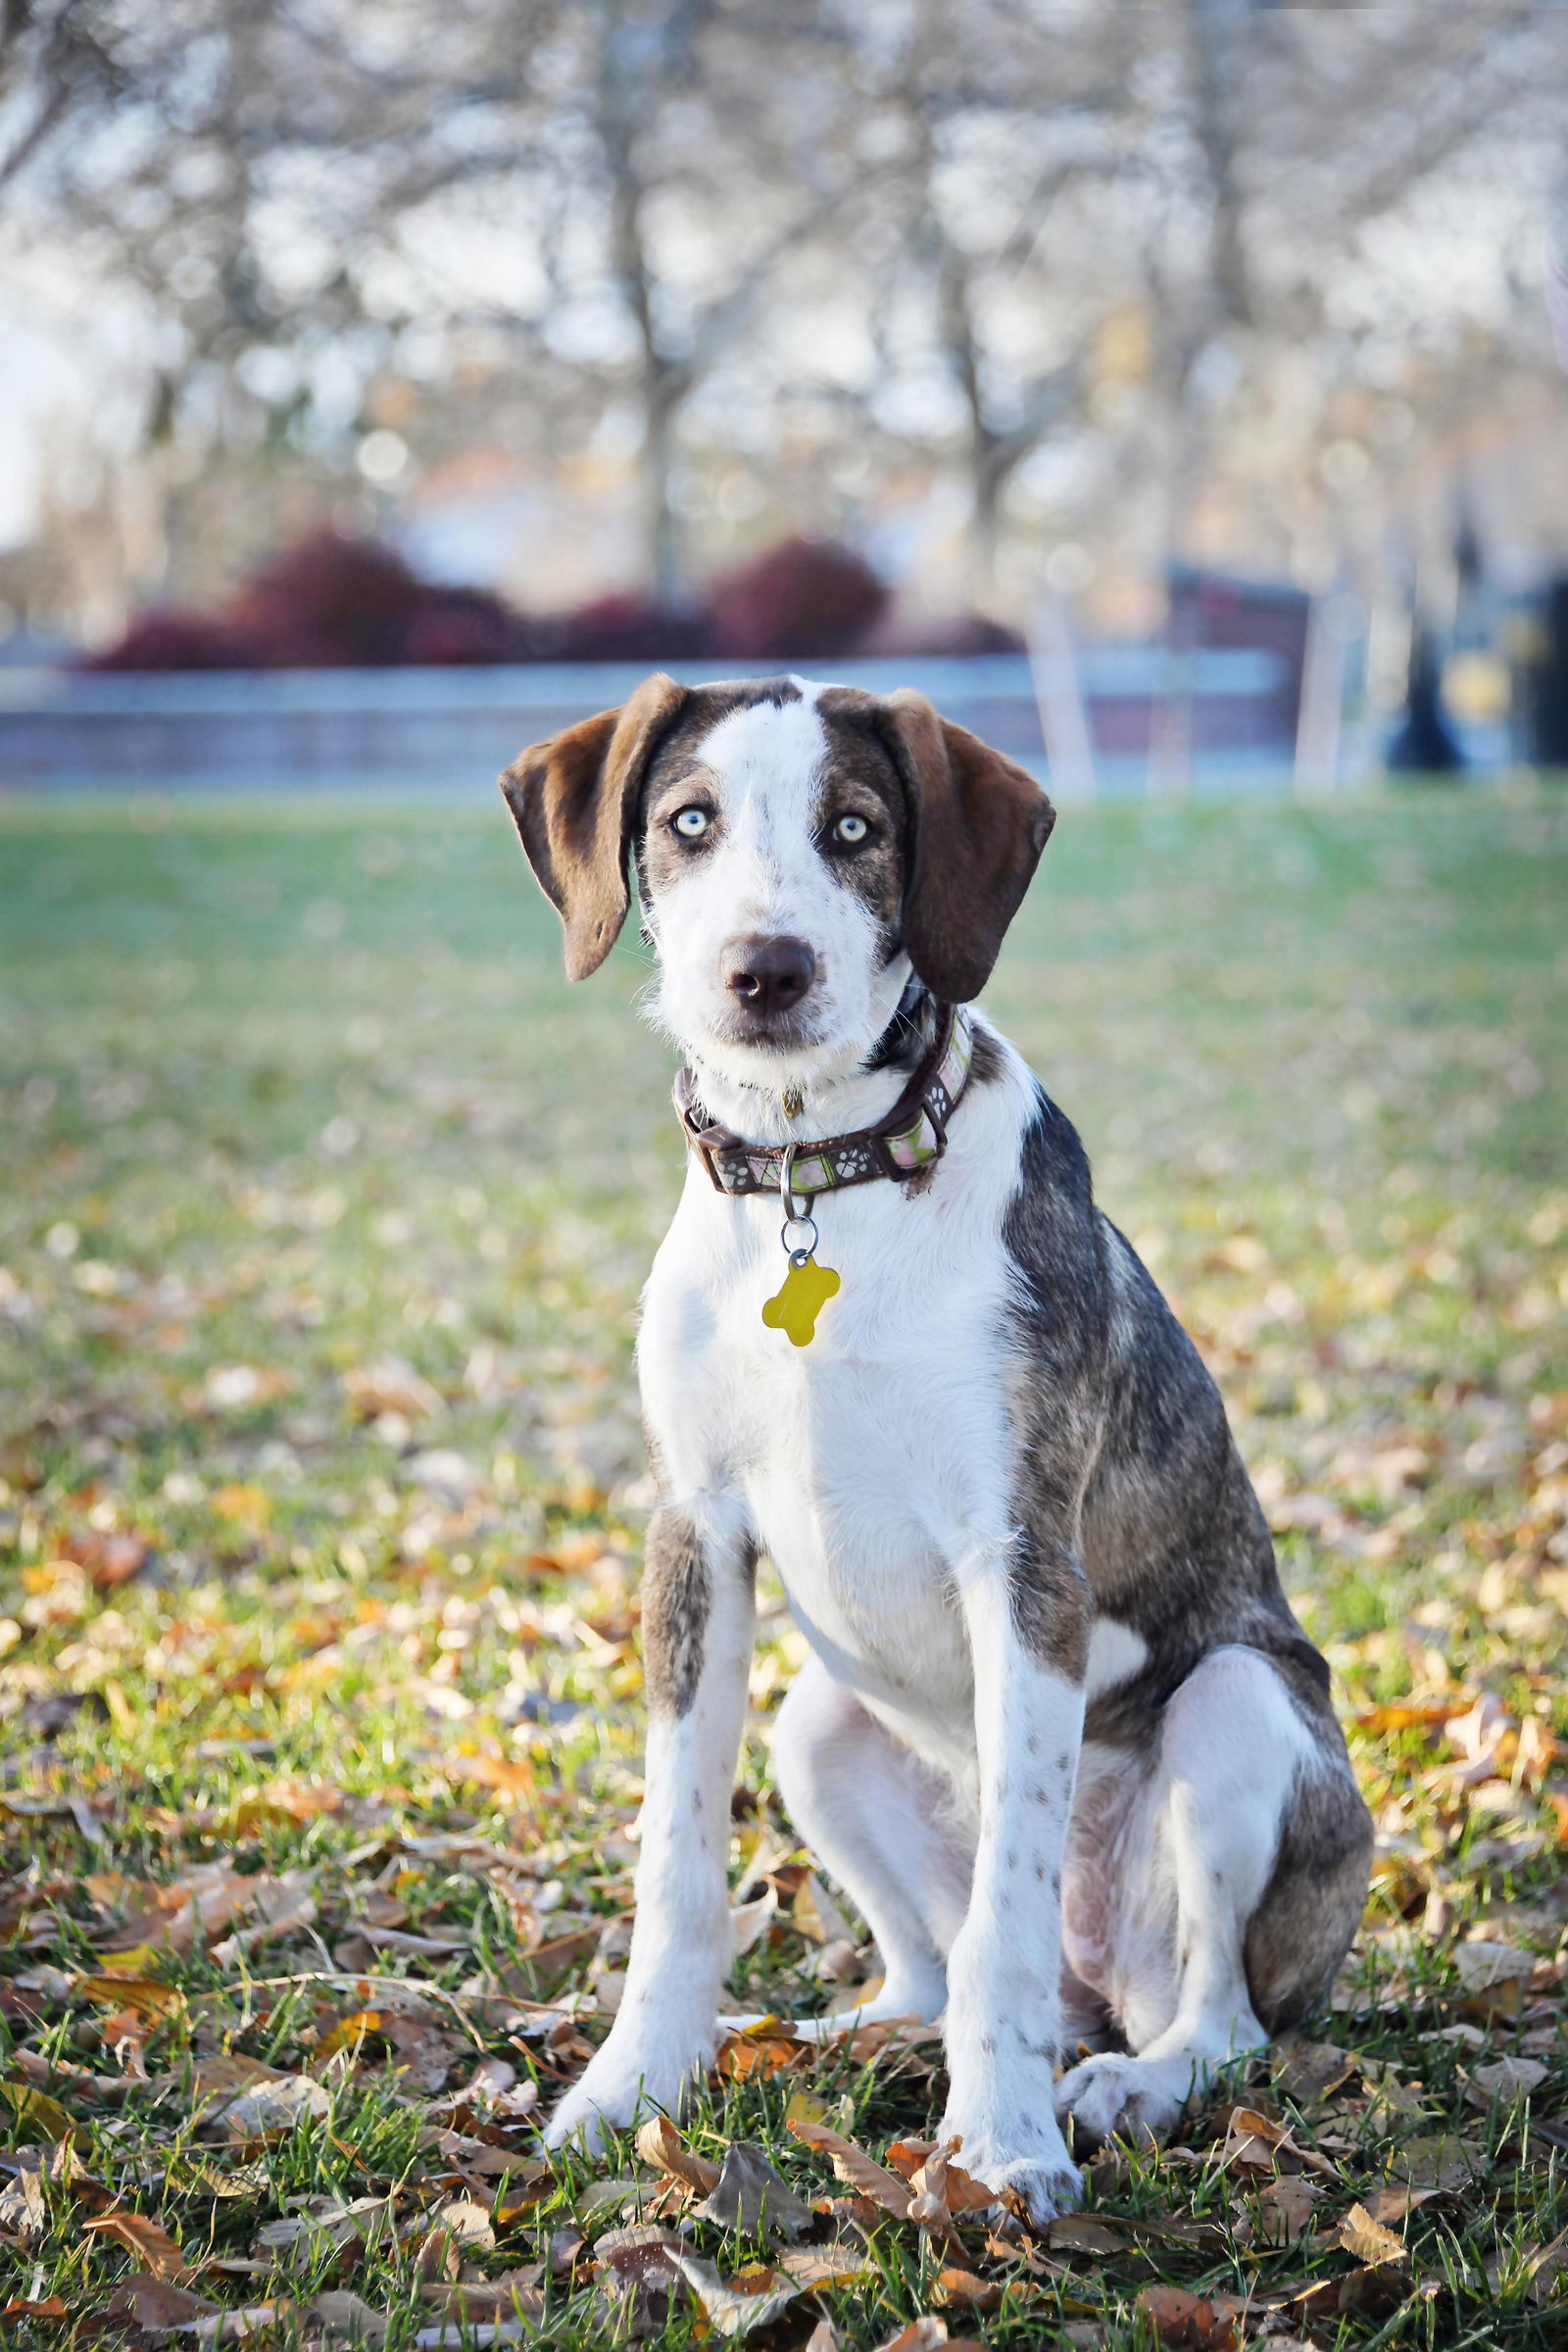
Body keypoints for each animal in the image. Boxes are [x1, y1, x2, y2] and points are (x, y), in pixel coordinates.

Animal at [503, 672, 1372, 2211]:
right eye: (689, 822)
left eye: (855, 826)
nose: (765, 972)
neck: (818, 1182)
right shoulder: (692, 1539)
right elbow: (676, 1869)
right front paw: (632, 2088)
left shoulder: (1023, 1565)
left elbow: (1005, 1922)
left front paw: (1003, 2144)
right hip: (819, 1725)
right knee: (924, 1956)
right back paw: (852, 2031)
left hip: (1239, 1711)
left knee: (1213, 2017)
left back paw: (1129, 2082)